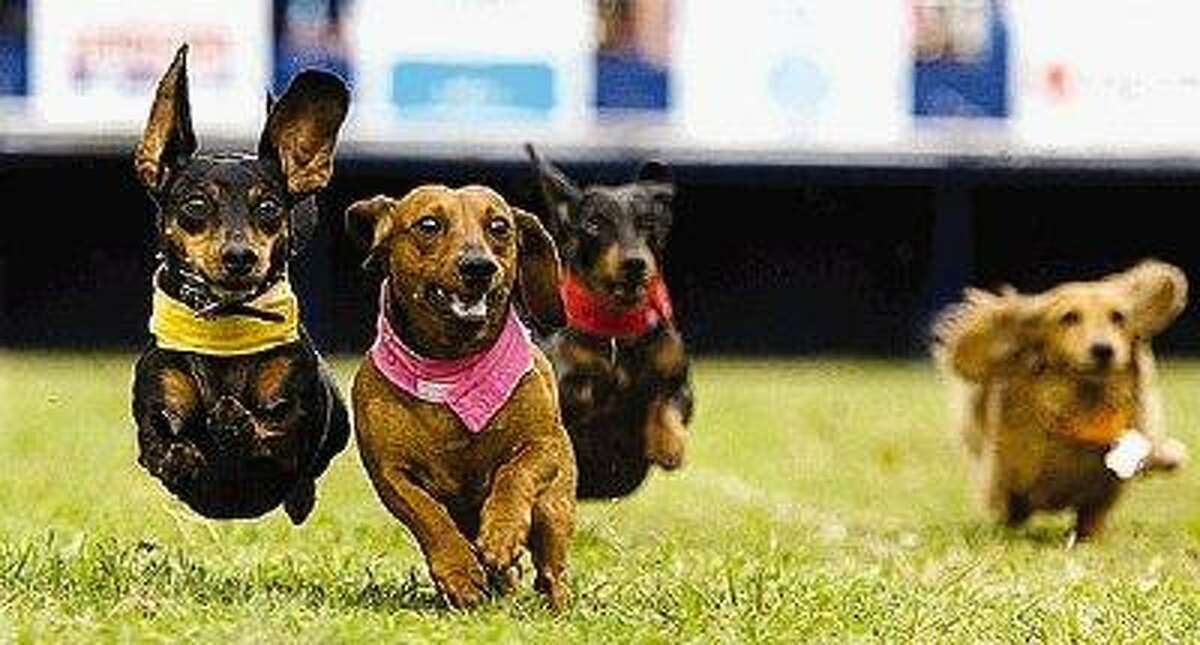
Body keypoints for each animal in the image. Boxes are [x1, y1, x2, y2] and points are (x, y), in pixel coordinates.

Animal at [931, 260, 1185, 537]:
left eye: (1118, 317)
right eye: (1069, 317)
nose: (1103, 350)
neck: (1084, 405)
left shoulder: (1104, 491)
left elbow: (1092, 518)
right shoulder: (1005, 477)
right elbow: (1008, 507)